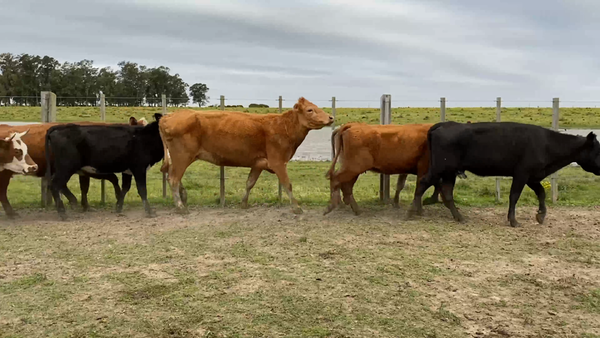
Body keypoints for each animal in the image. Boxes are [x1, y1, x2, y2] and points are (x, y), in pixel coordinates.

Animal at [0, 116, 148, 218]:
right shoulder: (93, 169)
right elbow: (113, 178)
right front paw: (117, 196)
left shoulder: (83, 171)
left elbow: (84, 187)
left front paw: (84, 205)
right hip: (7, 172)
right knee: (4, 192)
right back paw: (11, 213)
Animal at [159, 96, 336, 215]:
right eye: (310, 109)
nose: (331, 117)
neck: (283, 126)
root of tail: (168, 116)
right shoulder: (278, 162)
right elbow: (287, 184)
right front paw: (297, 207)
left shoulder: (258, 164)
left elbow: (249, 183)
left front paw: (243, 203)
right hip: (182, 156)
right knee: (173, 178)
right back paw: (180, 206)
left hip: (180, 157)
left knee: (171, 174)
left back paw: (183, 197)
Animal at [410, 121, 600, 227]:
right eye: (597, 149)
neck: (547, 143)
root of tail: (444, 124)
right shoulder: (522, 173)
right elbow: (514, 196)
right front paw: (514, 221)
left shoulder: (532, 176)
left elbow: (541, 192)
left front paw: (540, 215)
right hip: (441, 167)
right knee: (424, 182)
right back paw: (414, 211)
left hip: (450, 171)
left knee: (446, 192)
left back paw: (459, 217)